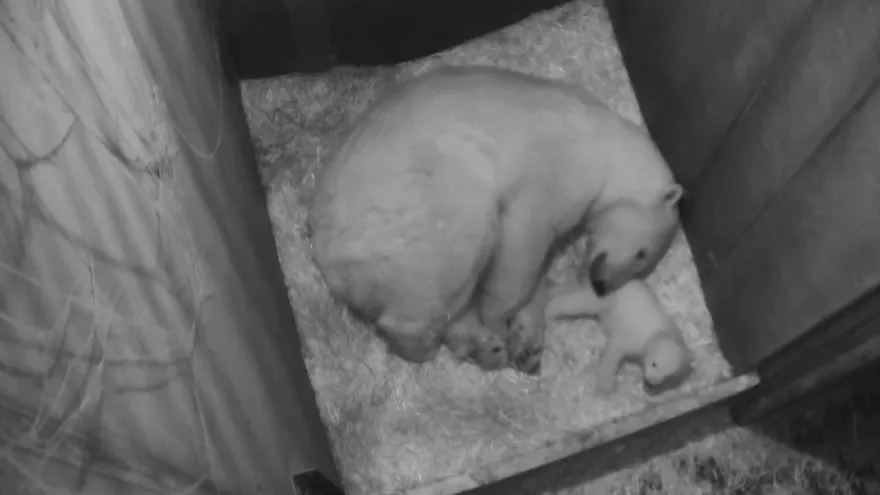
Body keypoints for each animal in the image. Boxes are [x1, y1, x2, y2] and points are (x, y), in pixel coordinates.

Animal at [307, 64, 683, 373]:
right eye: (643, 254)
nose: (602, 284)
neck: (608, 144)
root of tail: (325, 254)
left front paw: (525, 341)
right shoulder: (561, 168)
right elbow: (524, 240)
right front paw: (500, 320)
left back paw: (486, 347)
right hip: (413, 208)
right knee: (446, 264)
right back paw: (436, 344)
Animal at [544, 268, 694, 394]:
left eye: (667, 377)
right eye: (654, 364)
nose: (649, 382)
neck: (658, 334)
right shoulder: (630, 340)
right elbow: (614, 351)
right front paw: (606, 383)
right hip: (603, 299)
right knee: (578, 302)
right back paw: (551, 310)